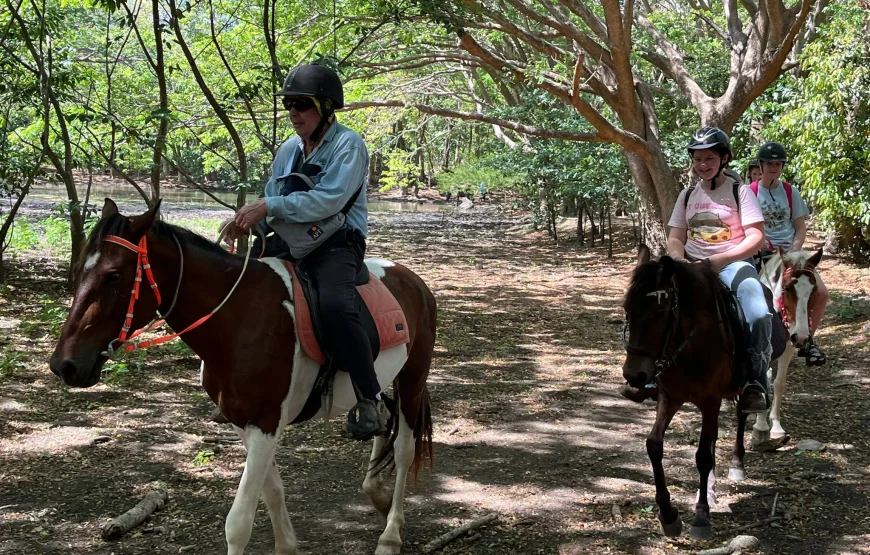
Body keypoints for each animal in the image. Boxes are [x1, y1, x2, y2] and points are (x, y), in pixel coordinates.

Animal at [49, 199, 436, 555]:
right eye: (79, 270)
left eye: (113, 275)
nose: (64, 365)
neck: (238, 320)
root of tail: (413, 280)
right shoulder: (241, 422)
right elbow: (272, 490)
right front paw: (287, 547)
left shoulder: (266, 421)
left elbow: (239, 522)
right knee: (382, 419)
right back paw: (377, 494)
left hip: (413, 378)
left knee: (403, 448)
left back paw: (390, 535)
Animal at [621, 245, 754, 540]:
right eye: (627, 310)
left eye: (660, 314)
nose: (634, 376)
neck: (691, 346)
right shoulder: (669, 397)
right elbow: (654, 445)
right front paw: (668, 514)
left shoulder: (710, 401)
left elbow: (703, 456)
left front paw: (701, 516)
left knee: (742, 413)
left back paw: (737, 464)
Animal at [752, 248, 823, 444]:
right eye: (787, 288)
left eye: (814, 290)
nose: (802, 336)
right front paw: (761, 425)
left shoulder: (788, 345)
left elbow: (779, 383)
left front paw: (775, 426)